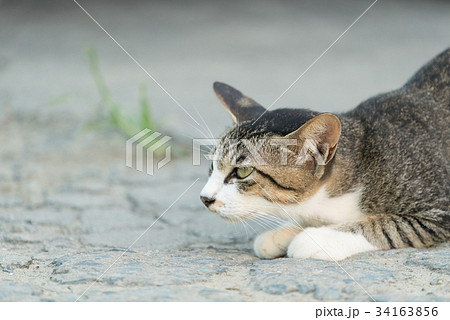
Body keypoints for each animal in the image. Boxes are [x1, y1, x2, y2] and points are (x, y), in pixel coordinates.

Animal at [201, 48, 450, 262]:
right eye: (212, 166)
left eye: (243, 171)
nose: (204, 198)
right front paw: (283, 233)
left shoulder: (440, 208)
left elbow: (388, 225)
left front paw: (317, 238)